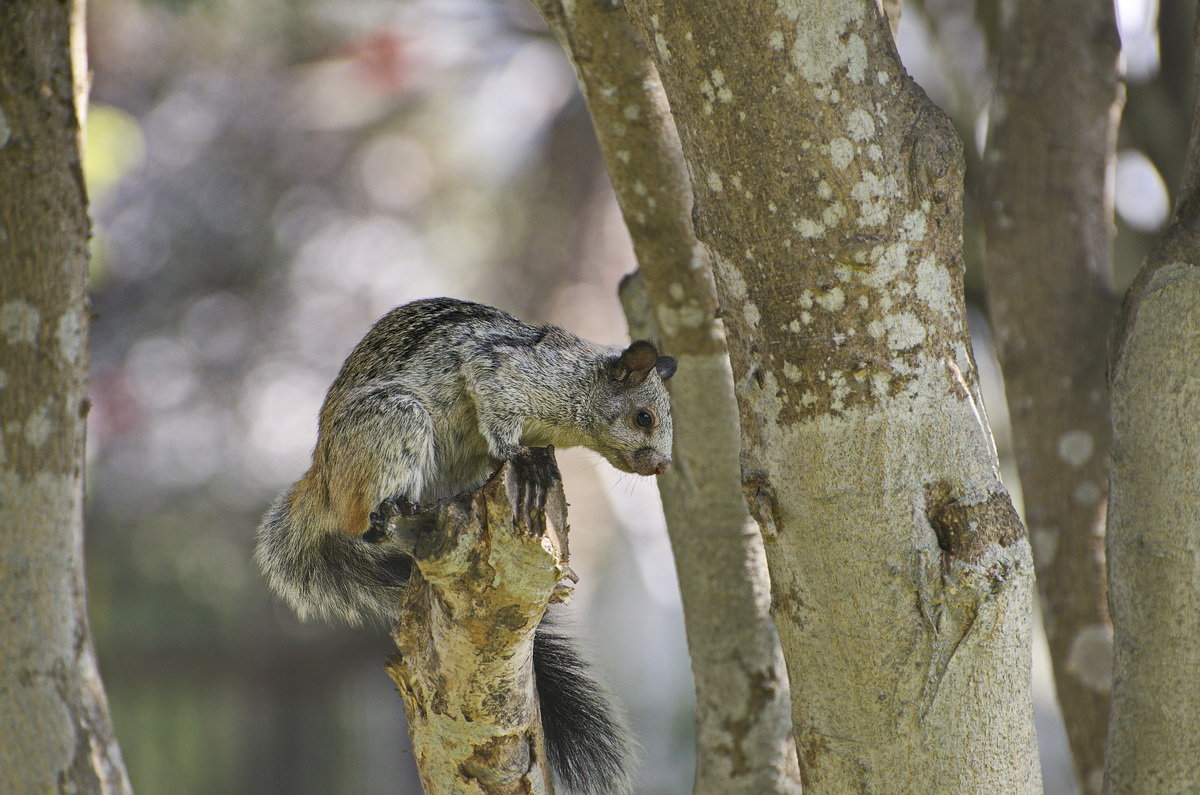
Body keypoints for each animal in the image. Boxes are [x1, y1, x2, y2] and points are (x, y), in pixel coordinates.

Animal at [254, 299, 676, 795]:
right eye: (643, 417)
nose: (662, 466)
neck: (576, 383)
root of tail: (322, 479)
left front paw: (540, 462)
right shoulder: (501, 374)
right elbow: (499, 417)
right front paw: (522, 459)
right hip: (394, 420)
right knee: (365, 521)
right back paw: (391, 508)